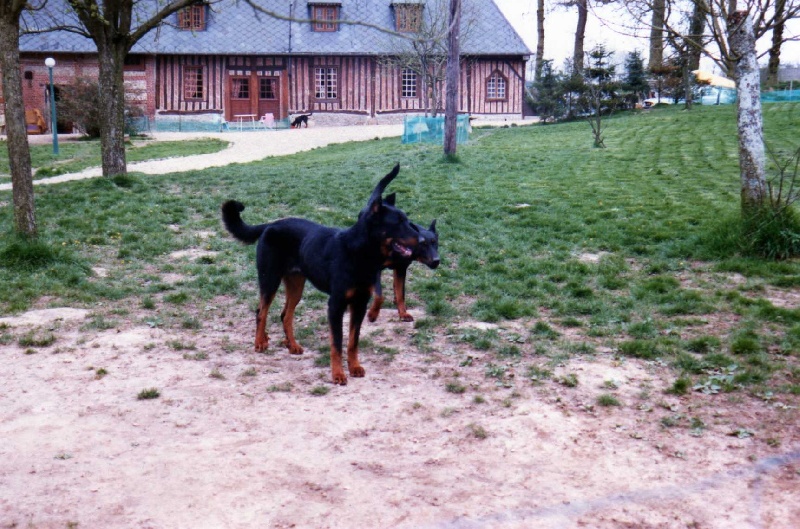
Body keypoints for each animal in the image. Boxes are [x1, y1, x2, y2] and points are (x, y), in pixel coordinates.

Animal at [220, 165, 418, 384]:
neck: (358, 252)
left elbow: (353, 341)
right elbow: (337, 343)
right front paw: (338, 374)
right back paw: (260, 342)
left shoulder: (359, 304)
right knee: (261, 312)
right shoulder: (336, 305)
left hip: (296, 285)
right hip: (269, 279)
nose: (421, 238)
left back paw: (292, 345)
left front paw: (354, 367)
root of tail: (269, 225)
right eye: (398, 222)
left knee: (285, 315)